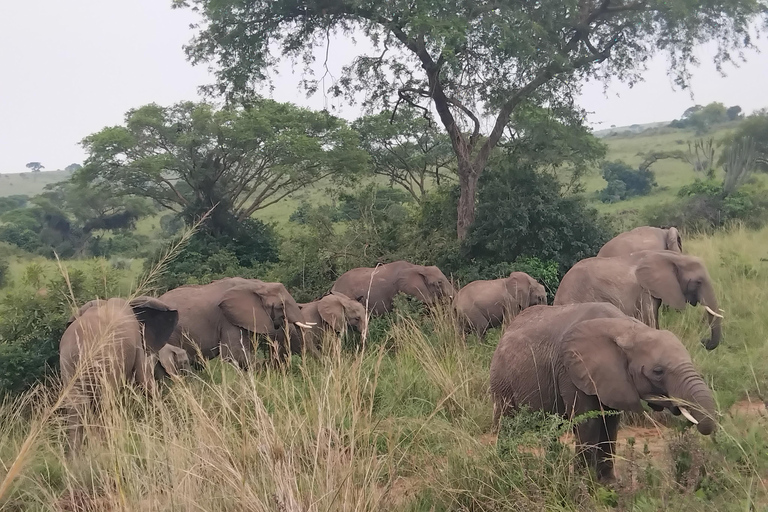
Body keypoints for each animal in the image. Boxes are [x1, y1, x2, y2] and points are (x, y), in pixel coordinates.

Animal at [492, 302, 720, 482]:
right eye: (658, 371)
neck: (627, 329)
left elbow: (610, 423)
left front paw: (609, 484)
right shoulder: (571, 371)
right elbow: (588, 423)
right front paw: (584, 485)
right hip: (501, 379)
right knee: (505, 423)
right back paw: (505, 468)